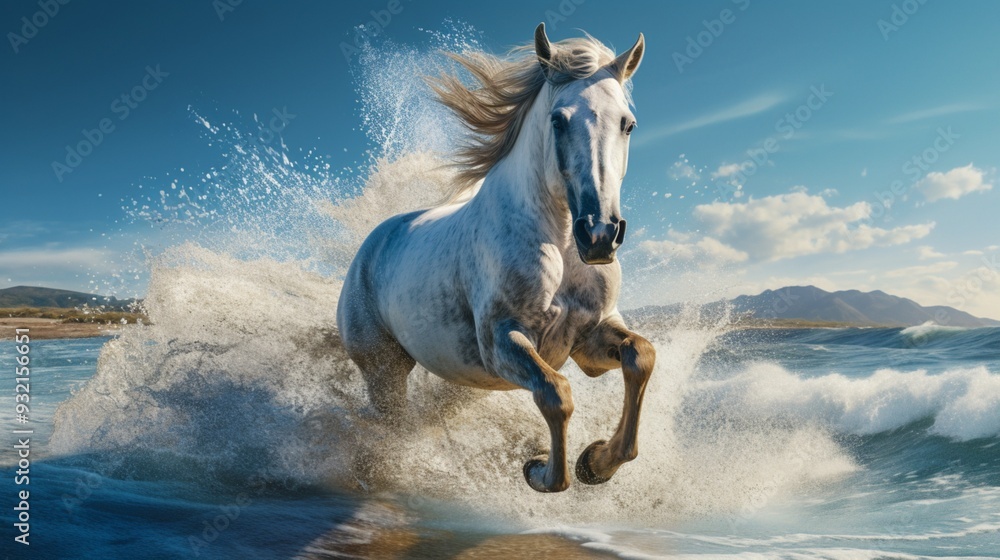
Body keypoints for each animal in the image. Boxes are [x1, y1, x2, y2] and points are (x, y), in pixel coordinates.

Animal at [337, 23, 655, 493]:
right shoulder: (502, 341)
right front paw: (539, 471)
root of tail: (372, 244)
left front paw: (596, 463)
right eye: (558, 120)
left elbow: (640, 356)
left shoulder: (591, 340)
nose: (599, 235)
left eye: (627, 124)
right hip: (384, 371)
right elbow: (556, 394)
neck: (560, 246)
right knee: (389, 427)